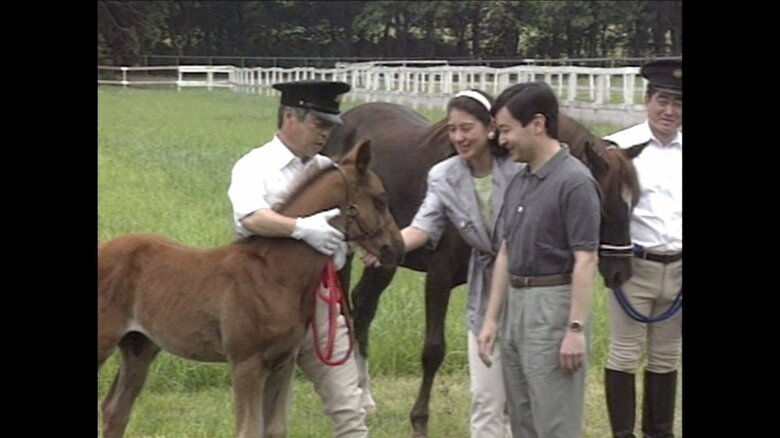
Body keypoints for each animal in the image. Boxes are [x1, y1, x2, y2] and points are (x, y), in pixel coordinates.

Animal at [97, 139, 405, 438]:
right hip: (107, 341)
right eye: (380, 198)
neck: (275, 274)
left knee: (116, 410)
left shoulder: (283, 361)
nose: (397, 249)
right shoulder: (246, 363)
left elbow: (275, 428)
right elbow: (248, 430)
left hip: (140, 345)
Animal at [323, 102, 646, 437]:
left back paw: (365, 395)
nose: (621, 273)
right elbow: (433, 350)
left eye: (634, 201)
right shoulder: (438, 277)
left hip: (386, 257)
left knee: (364, 305)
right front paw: (419, 420)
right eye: (601, 205)